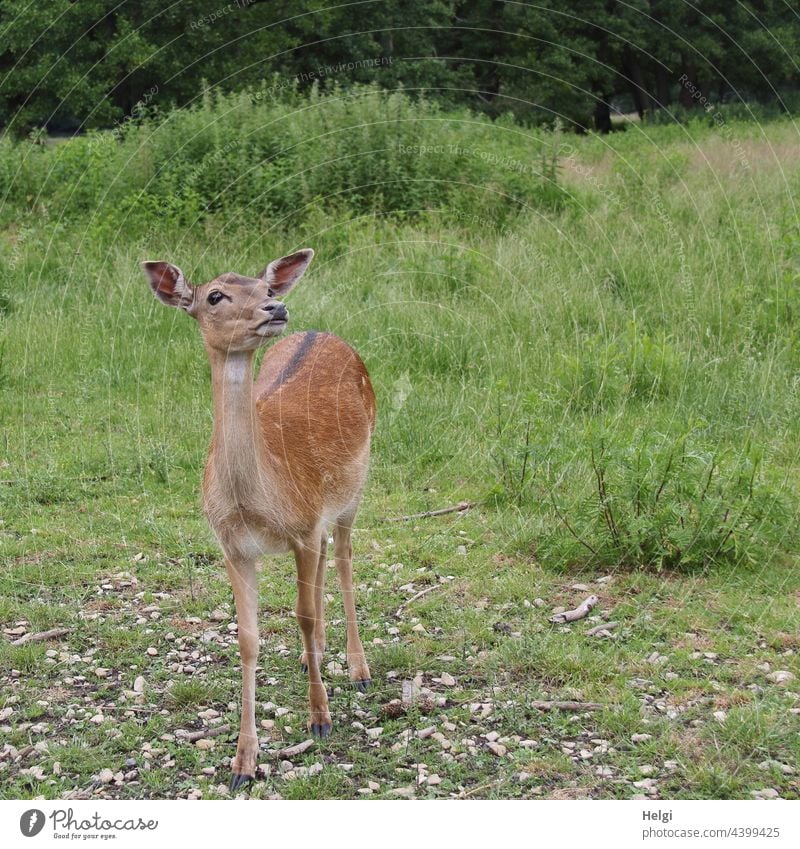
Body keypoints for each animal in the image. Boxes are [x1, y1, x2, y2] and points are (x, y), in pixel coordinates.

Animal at [143, 250, 376, 788]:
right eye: (214, 296)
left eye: (263, 286)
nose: (276, 307)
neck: (255, 499)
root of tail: (323, 333)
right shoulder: (233, 545)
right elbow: (248, 639)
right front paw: (242, 762)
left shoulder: (303, 525)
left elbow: (303, 614)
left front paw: (320, 719)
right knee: (327, 564)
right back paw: (317, 655)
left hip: (355, 488)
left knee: (344, 558)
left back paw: (357, 668)